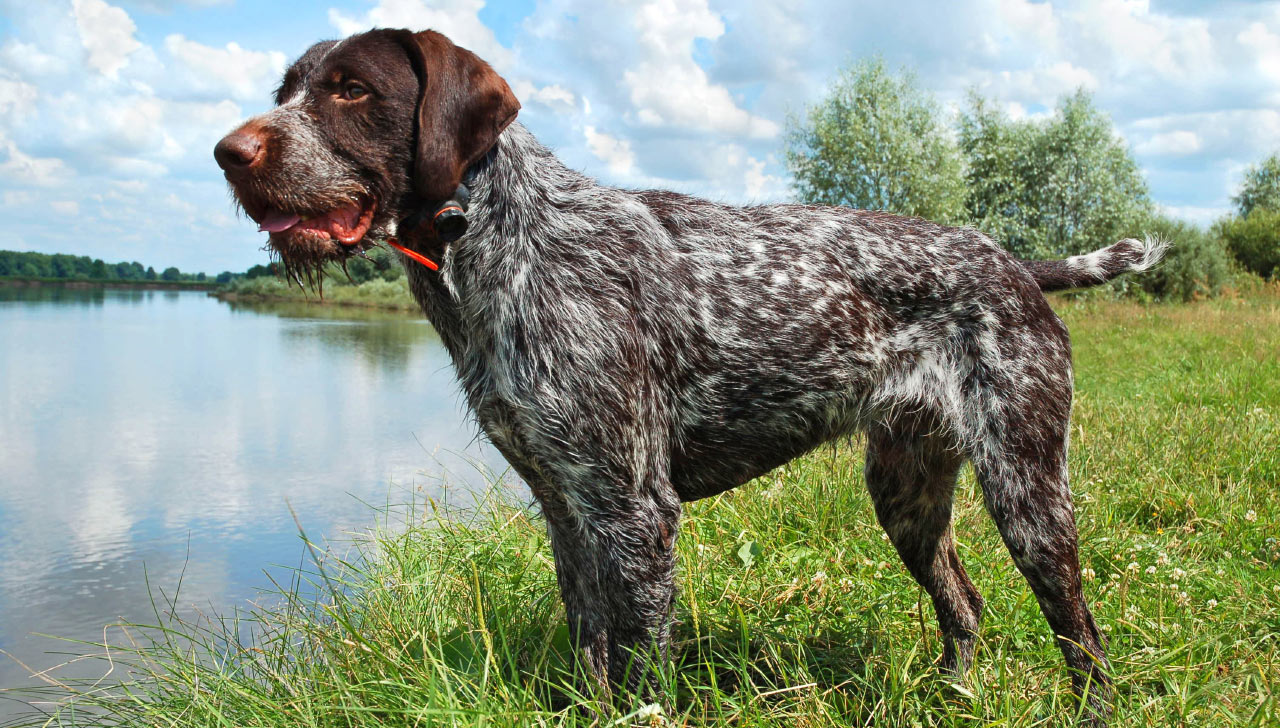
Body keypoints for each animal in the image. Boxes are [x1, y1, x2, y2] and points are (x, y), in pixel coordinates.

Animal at [215, 29, 1167, 721]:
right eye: (286, 91)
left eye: (351, 90)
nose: (228, 151)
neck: (496, 243)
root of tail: (1015, 265)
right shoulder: (568, 510)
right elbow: (591, 652)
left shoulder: (636, 512)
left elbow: (640, 671)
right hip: (906, 492)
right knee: (964, 603)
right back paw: (955, 697)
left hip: (1027, 491)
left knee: (1080, 634)